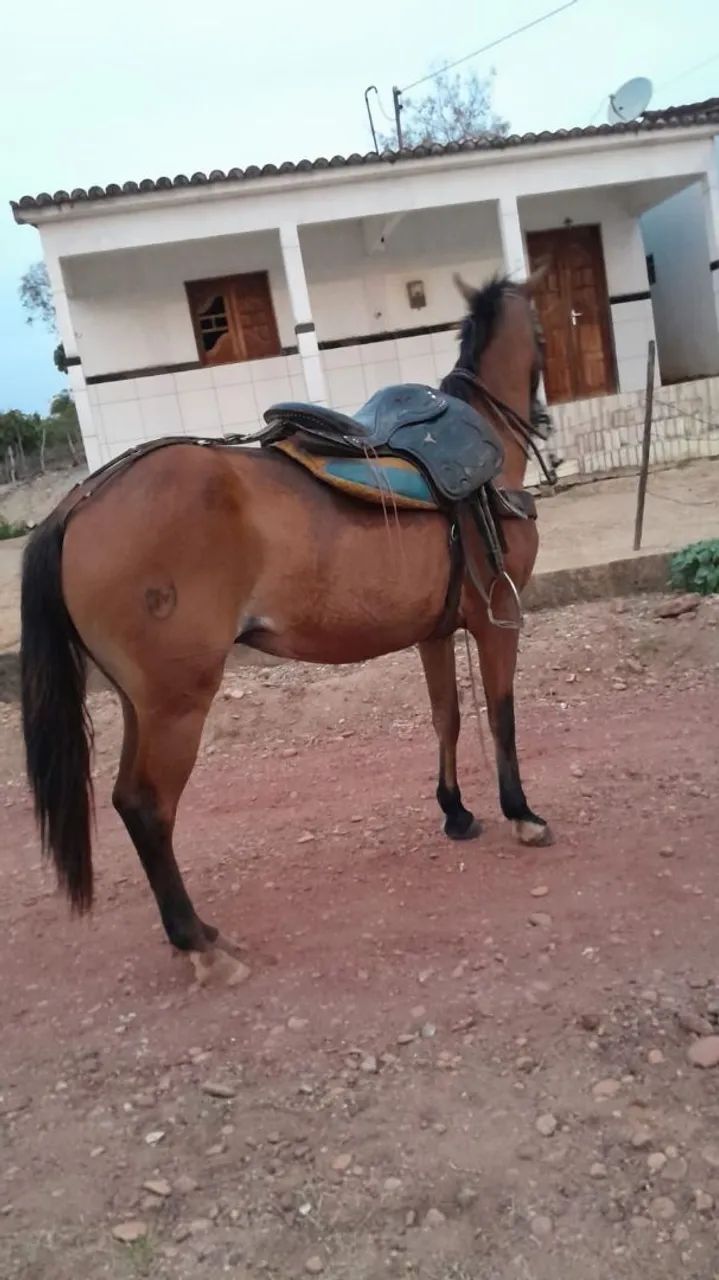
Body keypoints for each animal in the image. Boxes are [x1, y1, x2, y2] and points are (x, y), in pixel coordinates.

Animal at [20, 270, 552, 983]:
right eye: (543, 333)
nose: (545, 415)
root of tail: (77, 504)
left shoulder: (435, 632)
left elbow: (449, 718)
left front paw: (457, 811)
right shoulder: (500, 622)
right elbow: (501, 715)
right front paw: (520, 813)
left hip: (141, 703)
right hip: (176, 704)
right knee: (146, 805)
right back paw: (200, 944)